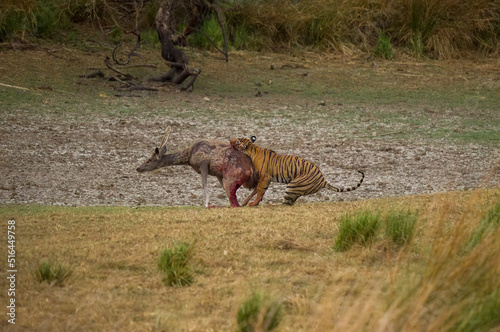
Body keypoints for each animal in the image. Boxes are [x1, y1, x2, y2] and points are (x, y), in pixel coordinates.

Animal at [230, 137, 364, 205]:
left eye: (237, 141)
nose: (230, 141)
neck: (252, 149)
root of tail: (323, 180)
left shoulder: (265, 177)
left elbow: (259, 191)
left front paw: (253, 203)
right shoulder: (264, 179)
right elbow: (256, 191)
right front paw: (245, 203)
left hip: (292, 186)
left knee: (286, 203)